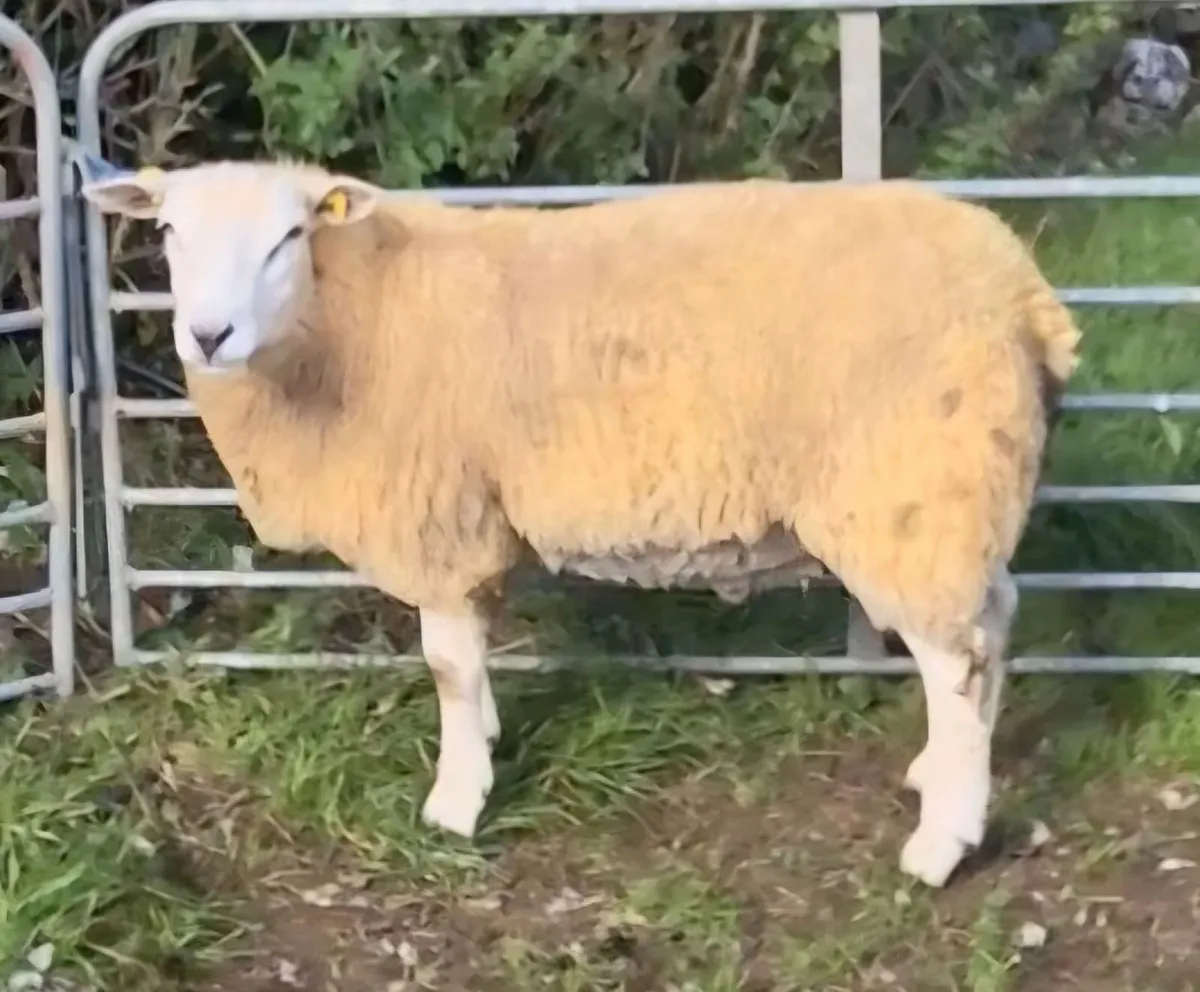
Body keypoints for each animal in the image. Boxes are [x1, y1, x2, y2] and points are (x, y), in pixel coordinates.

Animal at [81, 156, 1080, 888]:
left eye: (289, 236)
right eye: (167, 231)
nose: (208, 336)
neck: (340, 330)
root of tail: (1022, 292)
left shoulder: (439, 516)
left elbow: (447, 667)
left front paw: (455, 801)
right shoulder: (474, 516)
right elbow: (474, 658)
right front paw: (484, 744)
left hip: (913, 486)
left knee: (956, 662)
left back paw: (941, 844)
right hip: (959, 492)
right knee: (994, 620)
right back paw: (945, 778)